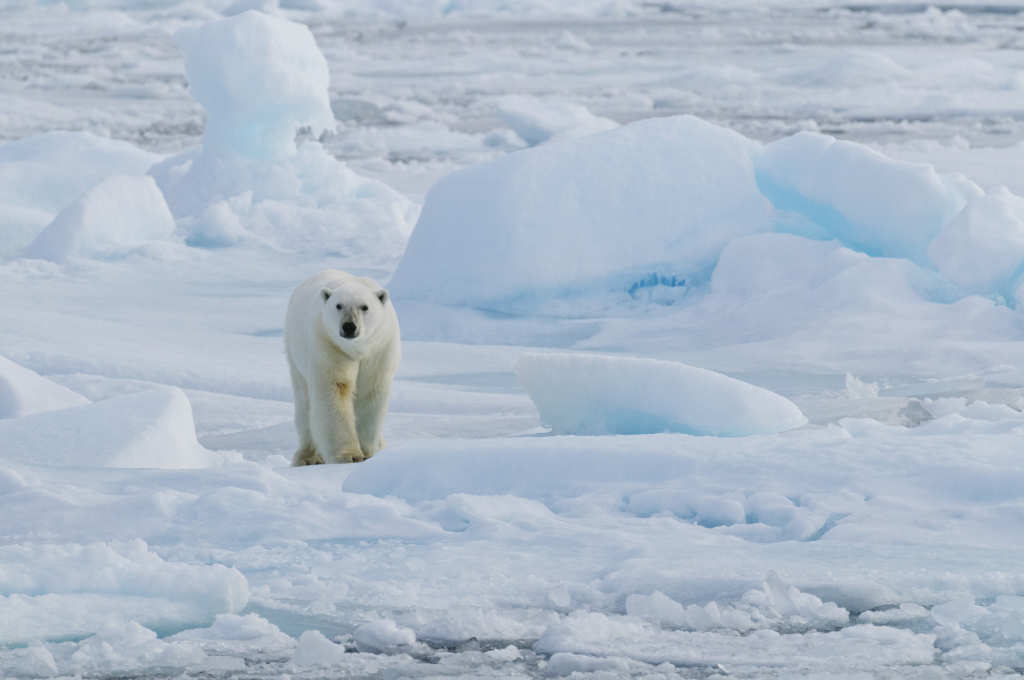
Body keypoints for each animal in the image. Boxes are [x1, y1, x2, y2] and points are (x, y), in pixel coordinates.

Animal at [288, 268, 403, 464]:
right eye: (338, 305)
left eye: (364, 307)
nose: (349, 326)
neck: (357, 349)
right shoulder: (329, 344)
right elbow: (336, 389)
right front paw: (349, 455)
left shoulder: (380, 349)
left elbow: (369, 391)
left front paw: (367, 453)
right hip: (296, 353)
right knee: (304, 403)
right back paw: (308, 457)